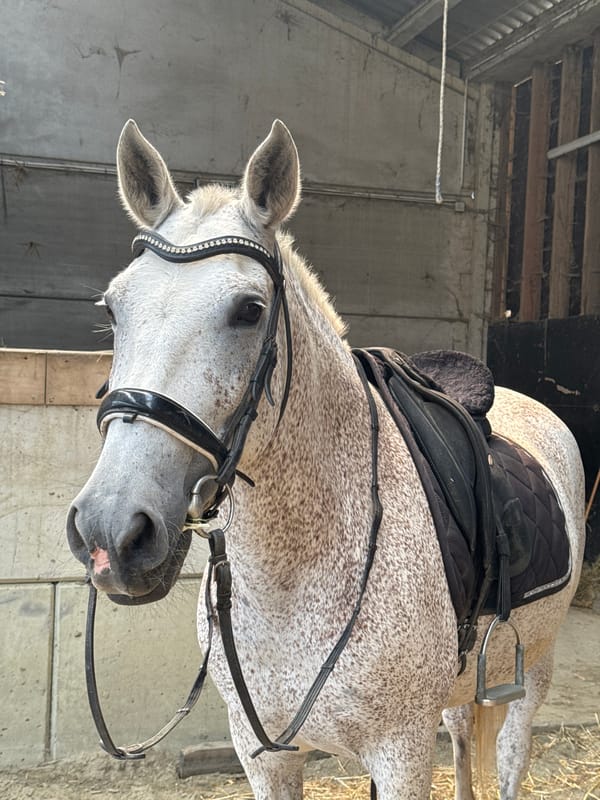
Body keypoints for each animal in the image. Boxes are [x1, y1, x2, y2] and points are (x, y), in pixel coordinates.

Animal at [66, 118, 585, 800]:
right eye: (113, 308)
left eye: (250, 310)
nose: (112, 530)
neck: (291, 573)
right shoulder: (262, 754)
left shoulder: (399, 753)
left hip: (536, 671)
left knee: (509, 760)